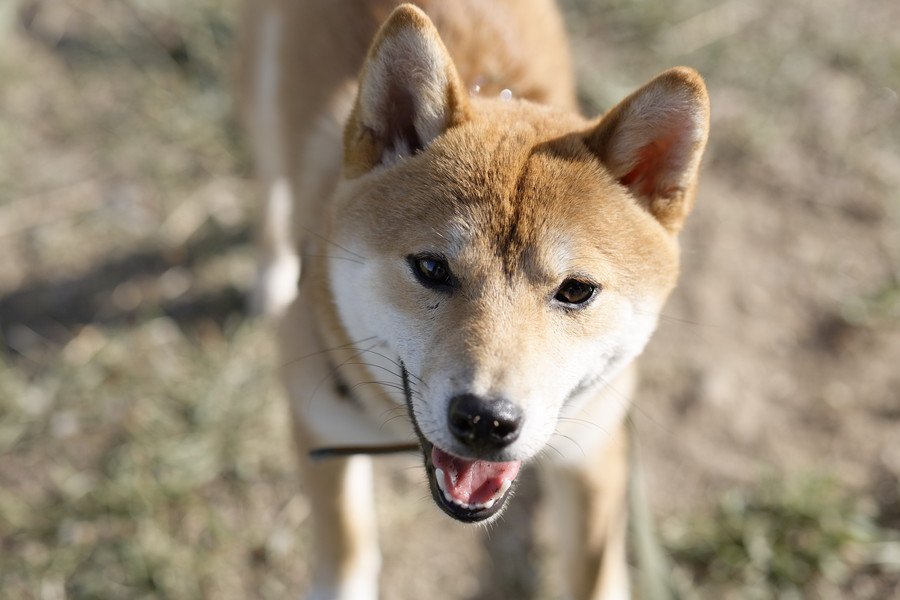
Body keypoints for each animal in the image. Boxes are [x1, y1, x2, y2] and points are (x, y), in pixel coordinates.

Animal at [237, 2, 712, 596]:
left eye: (576, 290)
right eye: (431, 268)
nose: (486, 421)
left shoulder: (593, 455)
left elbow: (594, 575)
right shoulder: (321, 432)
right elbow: (346, 557)